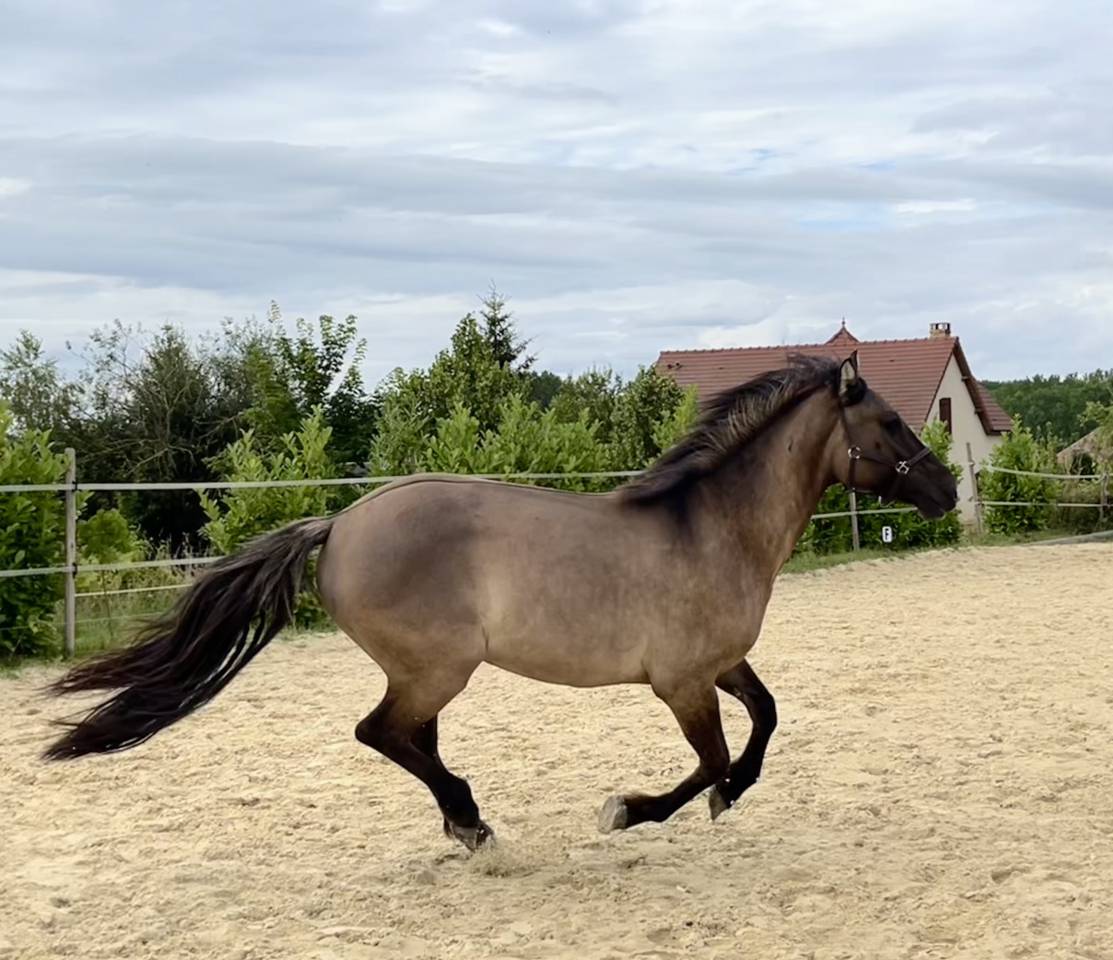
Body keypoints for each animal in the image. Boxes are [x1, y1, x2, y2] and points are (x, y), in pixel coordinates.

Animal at [43, 352, 958, 850]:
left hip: (427, 674)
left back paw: (462, 823)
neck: (711, 526)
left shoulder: (721, 664)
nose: (947, 489)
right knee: (381, 733)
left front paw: (727, 798)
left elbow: (764, 722)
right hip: (436, 668)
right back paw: (472, 822)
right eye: (887, 423)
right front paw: (628, 811)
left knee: (410, 741)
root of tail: (338, 523)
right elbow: (709, 757)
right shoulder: (681, 683)